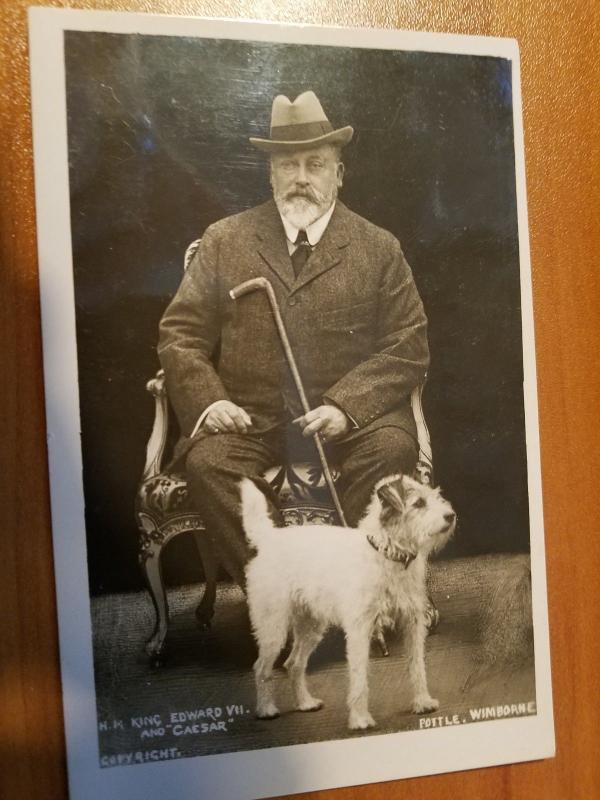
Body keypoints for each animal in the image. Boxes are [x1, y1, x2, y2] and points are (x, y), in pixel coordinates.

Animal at [240, 476, 454, 732]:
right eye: (419, 503)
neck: (387, 553)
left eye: (436, 496)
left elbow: (417, 667)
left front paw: (422, 702)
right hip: (274, 628)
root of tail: (270, 539)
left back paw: (305, 703)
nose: (451, 515)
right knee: (261, 667)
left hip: (310, 627)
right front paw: (360, 718)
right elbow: (359, 677)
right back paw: (266, 709)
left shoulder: (412, 624)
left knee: (294, 663)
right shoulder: (360, 630)